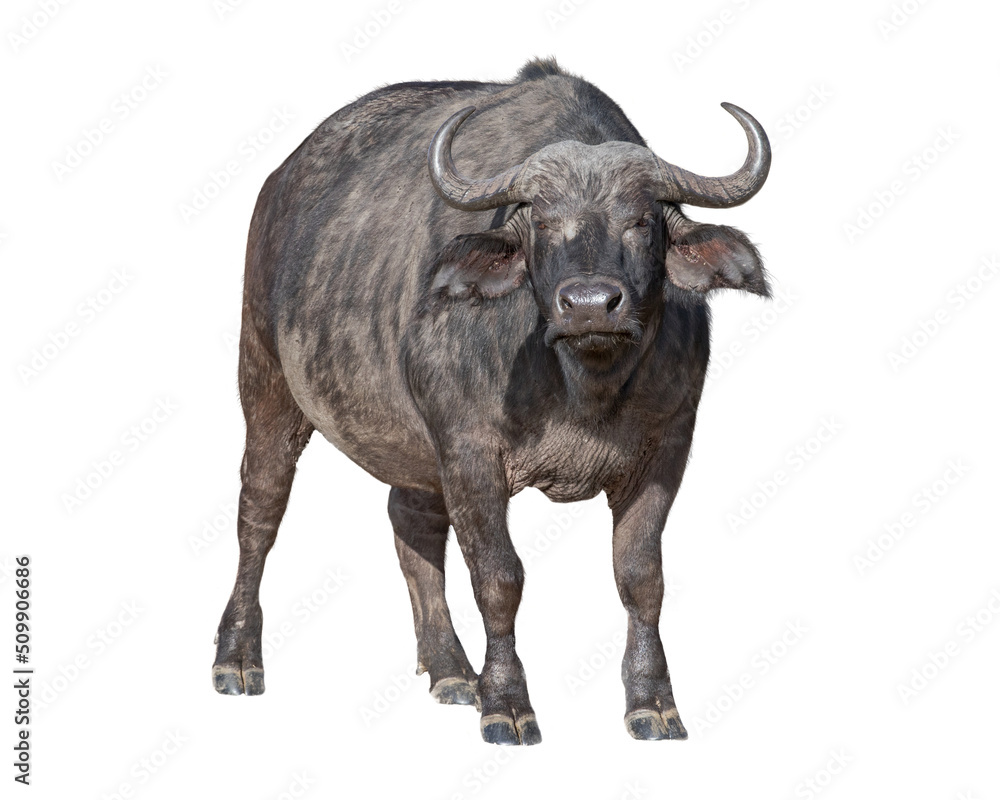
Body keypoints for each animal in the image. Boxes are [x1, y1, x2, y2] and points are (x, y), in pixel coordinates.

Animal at [213, 58, 772, 745]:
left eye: (641, 221)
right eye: (541, 222)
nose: (590, 304)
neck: (582, 384)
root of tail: (278, 184)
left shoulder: (666, 448)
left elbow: (641, 576)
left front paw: (653, 703)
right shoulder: (469, 452)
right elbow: (499, 577)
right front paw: (505, 702)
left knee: (412, 523)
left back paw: (451, 670)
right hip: (264, 380)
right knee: (259, 511)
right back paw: (238, 658)